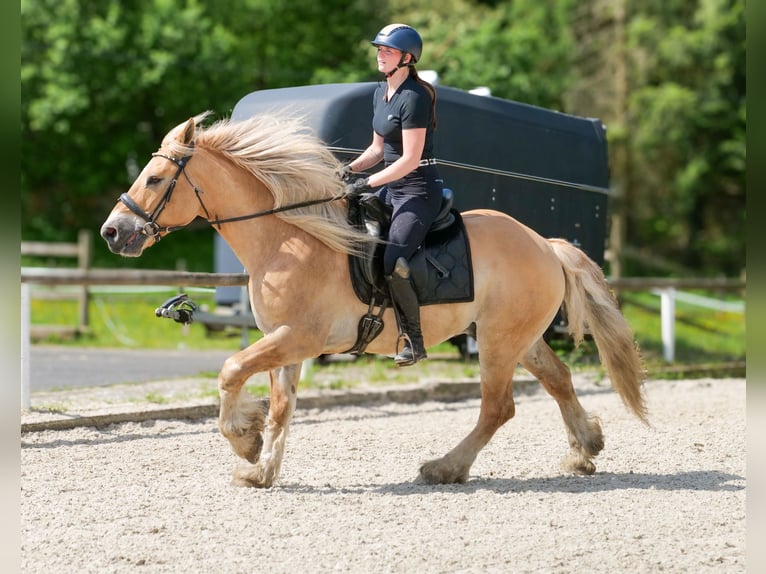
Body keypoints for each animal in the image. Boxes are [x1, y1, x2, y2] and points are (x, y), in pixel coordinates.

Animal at [100, 111, 648, 488]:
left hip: (498, 343)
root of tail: (546, 244)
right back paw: (584, 448)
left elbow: (231, 370)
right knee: (558, 380)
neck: (288, 239)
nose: (112, 232)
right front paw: (262, 468)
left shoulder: (298, 338)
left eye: (154, 179)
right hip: (518, 337)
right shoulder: (284, 343)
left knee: (498, 408)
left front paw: (244, 441)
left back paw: (444, 467)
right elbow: (281, 406)